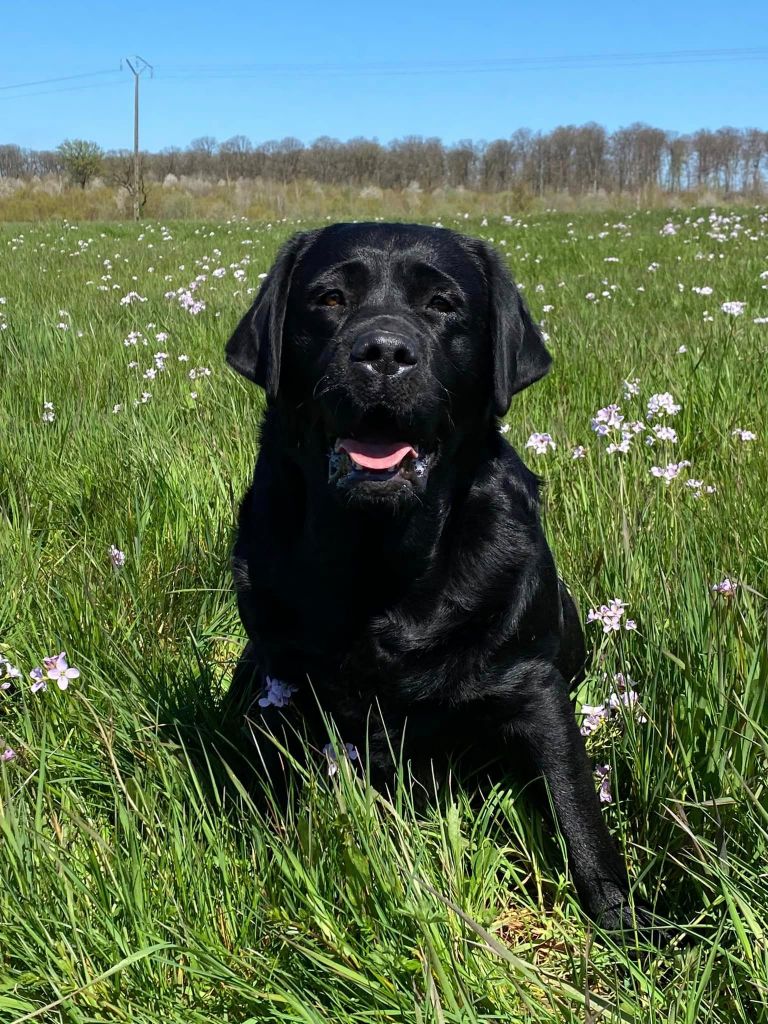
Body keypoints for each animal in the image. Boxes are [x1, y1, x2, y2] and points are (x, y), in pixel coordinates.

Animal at [227, 224, 655, 937]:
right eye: (330, 299)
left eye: (444, 305)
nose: (383, 353)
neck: (382, 564)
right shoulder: (279, 684)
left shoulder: (536, 687)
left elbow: (580, 816)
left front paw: (625, 930)